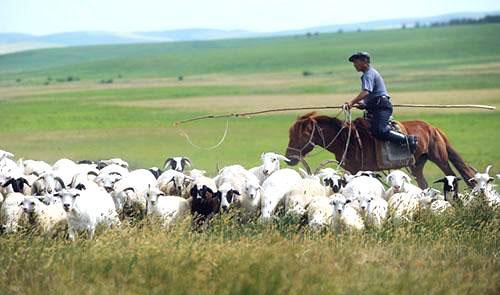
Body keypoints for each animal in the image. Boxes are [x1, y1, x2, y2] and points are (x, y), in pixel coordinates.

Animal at [286, 112, 476, 188]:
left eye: (300, 136)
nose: (289, 157)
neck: (346, 139)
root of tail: (433, 128)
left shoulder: (357, 170)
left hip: (440, 159)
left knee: (452, 175)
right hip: (417, 165)